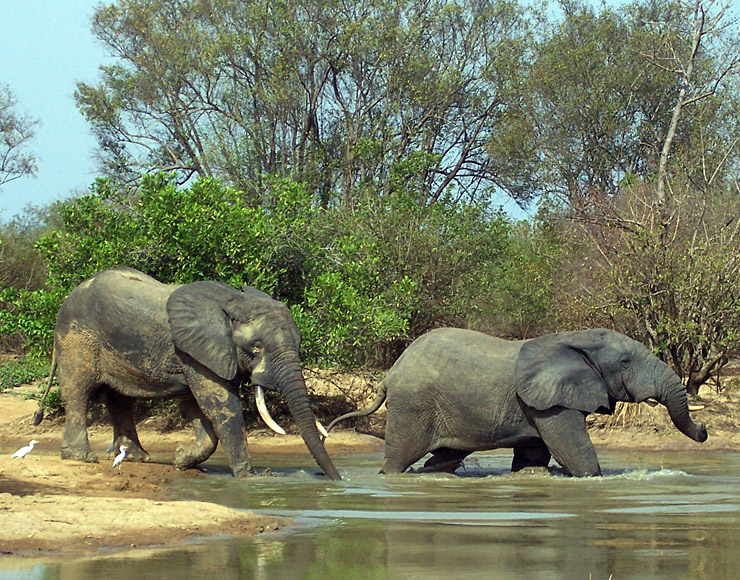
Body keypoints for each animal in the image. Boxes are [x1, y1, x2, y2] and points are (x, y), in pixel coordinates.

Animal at [34, 268, 342, 480]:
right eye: (256, 346)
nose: (339, 481)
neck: (234, 302)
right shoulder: (193, 351)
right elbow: (221, 405)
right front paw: (247, 478)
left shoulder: (199, 353)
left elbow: (197, 407)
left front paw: (181, 459)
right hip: (76, 339)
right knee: (79, 391)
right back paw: (82, 457)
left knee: (120, 400)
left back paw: (139, 458)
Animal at [328, 326, 704, 476]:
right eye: (625, 362)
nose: (704, 430)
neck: (575, 337)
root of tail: (389, 375)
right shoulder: (552, 403)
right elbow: (574, 451)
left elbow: (533, 455)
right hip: (413, 405)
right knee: (398, 458)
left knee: (445, 457)